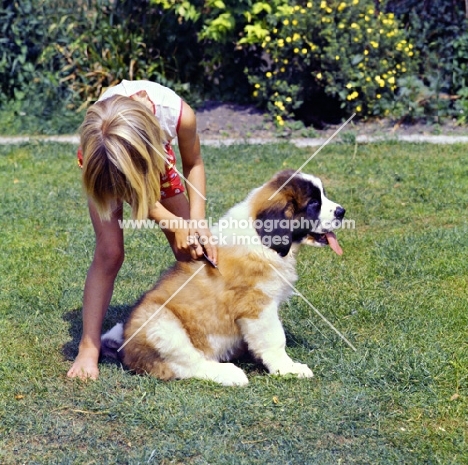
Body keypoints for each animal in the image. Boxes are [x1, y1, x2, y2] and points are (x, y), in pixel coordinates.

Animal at [102, 169, 344, 384]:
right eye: (314, 204)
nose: (342, 211)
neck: (263, 241)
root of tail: (124, 348)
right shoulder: (257, 306)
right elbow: (275, 338)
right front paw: (288, 368)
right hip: (160, 323)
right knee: (188, 364)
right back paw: (230, 373)